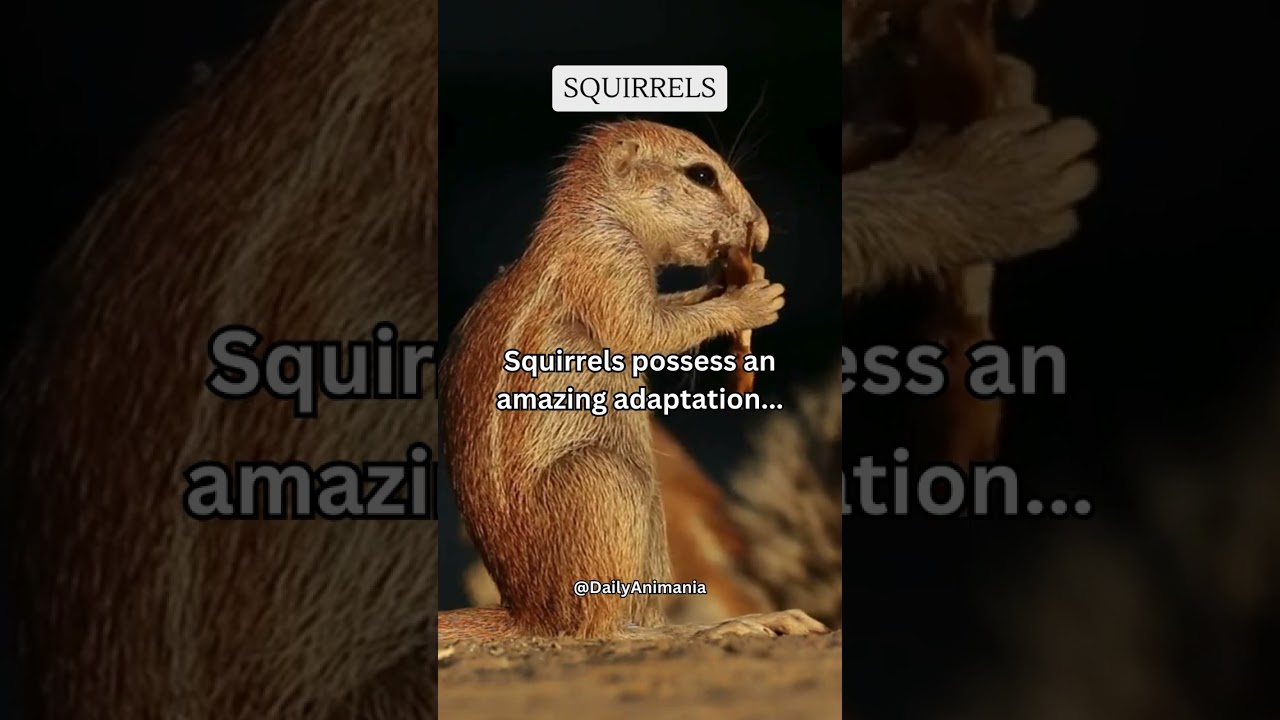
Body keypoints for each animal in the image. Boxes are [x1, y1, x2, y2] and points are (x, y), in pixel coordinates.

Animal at [438, 119, 830, 643]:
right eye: (702, 175)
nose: (762, 233)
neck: (599, 215)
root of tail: (529, 615)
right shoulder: (608, 263)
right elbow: (645, 330)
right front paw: (750, 301)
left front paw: (739, 281)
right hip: (607, 483)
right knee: (602, 629)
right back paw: (714, 628)